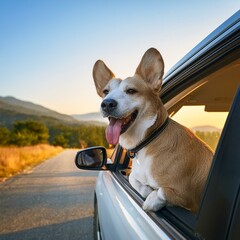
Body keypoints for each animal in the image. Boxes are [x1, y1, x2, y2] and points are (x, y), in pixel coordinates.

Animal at [93, 47, 213, 213]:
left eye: (131, 91)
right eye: (105, 91)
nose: (107, 103)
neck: (150, 139)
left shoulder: (188, 197)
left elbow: (163, 191)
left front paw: (152, 200)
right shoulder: (136, 173)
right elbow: (132, 177)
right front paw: (147, 190)